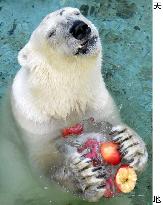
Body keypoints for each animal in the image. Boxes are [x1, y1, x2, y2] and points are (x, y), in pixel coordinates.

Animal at [9, 7, 148, 203]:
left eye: (76, 13)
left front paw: (132, 143)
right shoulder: (32, 120)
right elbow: (42, 164)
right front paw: (81, 176)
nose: (80, 28)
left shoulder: (99, 102)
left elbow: (113, 125)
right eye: (51, 33)